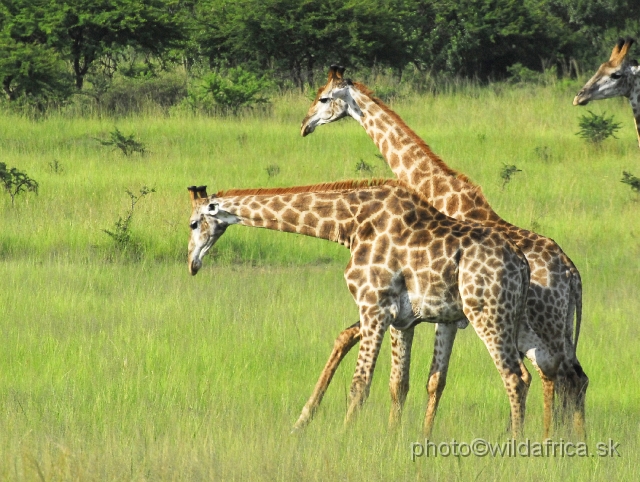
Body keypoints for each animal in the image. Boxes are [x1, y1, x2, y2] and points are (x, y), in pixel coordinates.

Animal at [188, 180, 532, 436]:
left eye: (192, 224)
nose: (192, 263)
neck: (352, 224)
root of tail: (522, 263)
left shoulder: (373, 306)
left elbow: (359, 384)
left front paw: (343, 438)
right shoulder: (403, 320)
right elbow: (399, 383)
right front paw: (393, 441)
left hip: (488, 314)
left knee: (514, 378)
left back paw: (515, 445)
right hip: (503, 319)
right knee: (523, 376)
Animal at [298, 64, 588, 436]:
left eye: (322, 98)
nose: (305, 125)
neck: (442, 194)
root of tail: (572, 274)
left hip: (539, 324)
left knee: (557, 376)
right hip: (555, 329)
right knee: (572, 378)